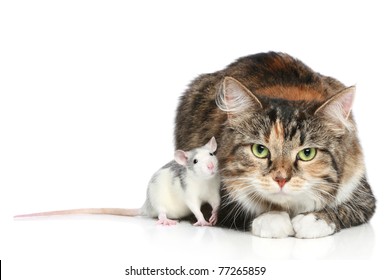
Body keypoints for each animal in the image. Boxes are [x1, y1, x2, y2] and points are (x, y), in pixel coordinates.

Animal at [174, 51, 374, 237]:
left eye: (307, 153)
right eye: (260, 150)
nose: (281, 179)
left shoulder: (362, 192)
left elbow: (344, 208)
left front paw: (314, 220)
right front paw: (273, 219)